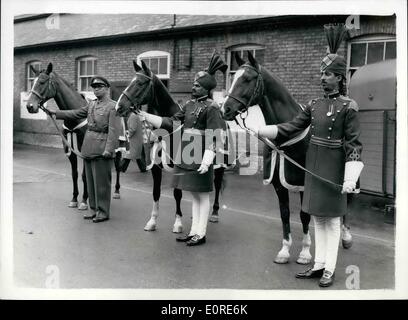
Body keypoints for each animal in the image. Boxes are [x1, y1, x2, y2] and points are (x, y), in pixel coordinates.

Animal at [26, 62, 125, 210]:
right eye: (32, 82)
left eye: (42, 82)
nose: (29, 106)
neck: (75, 119)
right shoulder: (71, 151)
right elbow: (74, 174)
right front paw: (74, 199)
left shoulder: (85, 151)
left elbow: (84, 175)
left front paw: (84, 200)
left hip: (118, 148)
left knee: (117, 167)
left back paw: (116, 191)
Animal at [115, 60, 226, 234]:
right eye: (130, 82)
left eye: (140, 83)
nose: (119, 107)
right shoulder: (155, 168)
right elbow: (156, 192)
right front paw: (152, 221)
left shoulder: (178, 168)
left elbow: (177, 193)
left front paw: (178, 223)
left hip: (220, 166)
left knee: (217, 183)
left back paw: (214, 213)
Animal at [220, 51, 312, 264]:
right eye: (233, 77)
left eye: (247, 79)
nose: (225, 109)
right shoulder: (279, 184)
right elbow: (285, 214)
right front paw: (284, 250)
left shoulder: (304, 183)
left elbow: (304, 215)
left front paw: (305, 252)